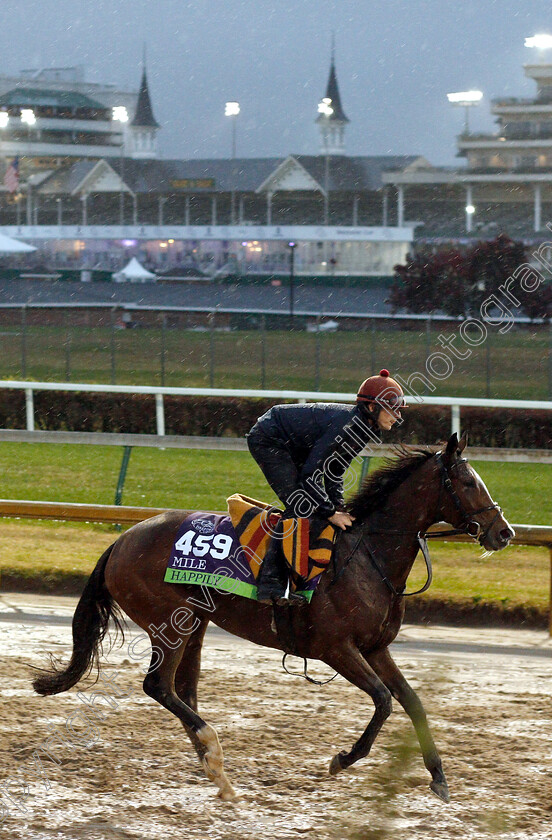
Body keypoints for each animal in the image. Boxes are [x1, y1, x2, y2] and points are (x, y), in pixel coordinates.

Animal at [33, 436, 512, 804]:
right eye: (468, 482)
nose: (504, 532)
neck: (367, 557)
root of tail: (121, 541)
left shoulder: (376, 646)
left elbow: (412, 702)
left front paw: (439, 778)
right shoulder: (335, 649)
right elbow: (383, 701)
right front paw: (343, 759)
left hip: (196, 623)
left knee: (183, 690)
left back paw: (217, 773)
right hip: (167, 621)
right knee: (159, 686)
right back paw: (214, 754)